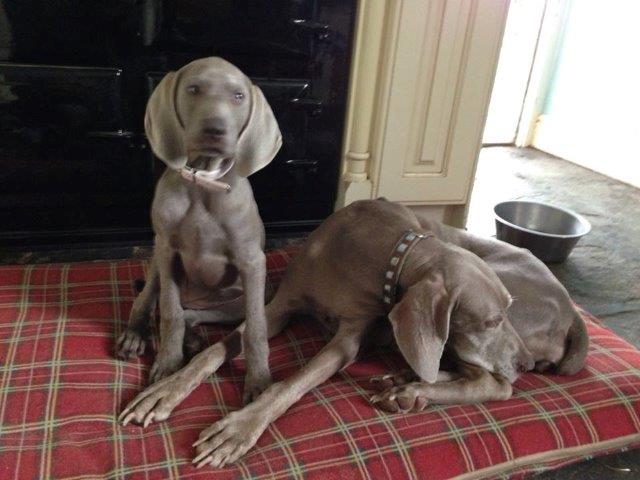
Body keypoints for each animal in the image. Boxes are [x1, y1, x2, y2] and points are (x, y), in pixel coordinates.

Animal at [114, 56, 282, 404]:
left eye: (238, 96)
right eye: (193, 89)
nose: (214, 130)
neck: (203, 183)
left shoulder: (252, 263)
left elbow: (256, 328)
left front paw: (258, 380)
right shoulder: (167, 251)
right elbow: (169, 313)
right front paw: (168, 363)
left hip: (242, 299)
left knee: (196, 315)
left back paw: (192, 338)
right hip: (156, 264)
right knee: (153, 303)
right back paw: (137, 334)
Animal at [117, 197, 588, 466]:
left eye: (503, 313)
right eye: (491, 320)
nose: (524, 364)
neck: (395, 251)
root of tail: (573, 312)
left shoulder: (346, 341)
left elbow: (289, 385)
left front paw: (239, 428)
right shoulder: (278, 308)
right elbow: (217, 352)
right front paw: (167, 390)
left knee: (494, 385)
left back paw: (411, 391)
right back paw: (402, 384)